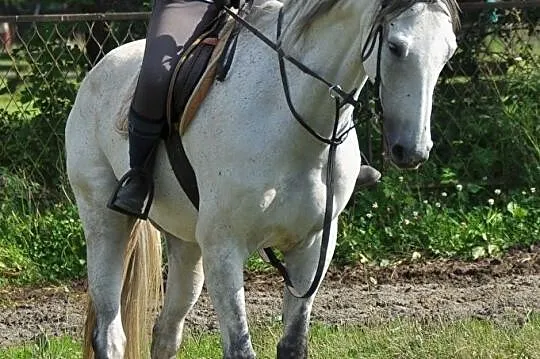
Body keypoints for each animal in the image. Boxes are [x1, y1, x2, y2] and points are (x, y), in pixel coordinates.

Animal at [65, 0, 458, 359]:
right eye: (395, 47)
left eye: (448, 52)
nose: (413, 150)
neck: (289, 119)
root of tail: (98, 70)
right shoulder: (224, 248)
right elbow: (240, 348)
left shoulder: (312, 246)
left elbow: (293, 345)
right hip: (105, 224)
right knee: (110, 334)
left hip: (187, 246)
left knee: (166, 333)